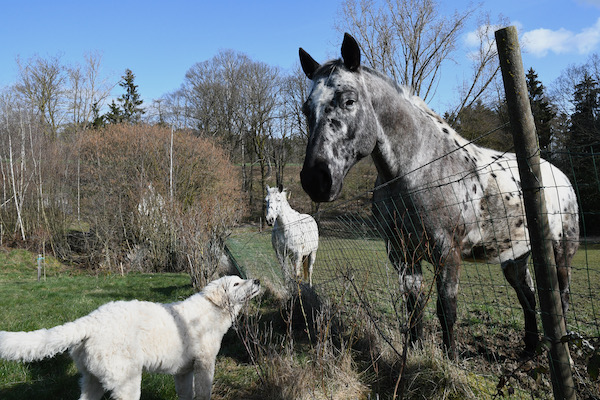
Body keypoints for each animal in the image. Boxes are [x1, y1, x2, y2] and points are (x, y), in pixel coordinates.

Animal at [0, 276, 260, 400]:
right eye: (236, 283)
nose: (257, 280)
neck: (212, 310)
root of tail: (91, 320)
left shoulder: (183, 370)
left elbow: (186, 393)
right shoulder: (205, 363)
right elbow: (204, 392)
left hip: (92, 379)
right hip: (127, 380)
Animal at [298, 33, 580, 360]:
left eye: (349, 101)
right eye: (306, 109)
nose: (316, 179)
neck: (418, 170)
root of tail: (560, 177)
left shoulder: (448, 254)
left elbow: (446, 309)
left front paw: (451, 358)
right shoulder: (402, 254)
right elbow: (413, 306)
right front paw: (414, 353)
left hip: (561, 252)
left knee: (561, 300)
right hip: (515, 258)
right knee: (529, 298)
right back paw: (530, 349)